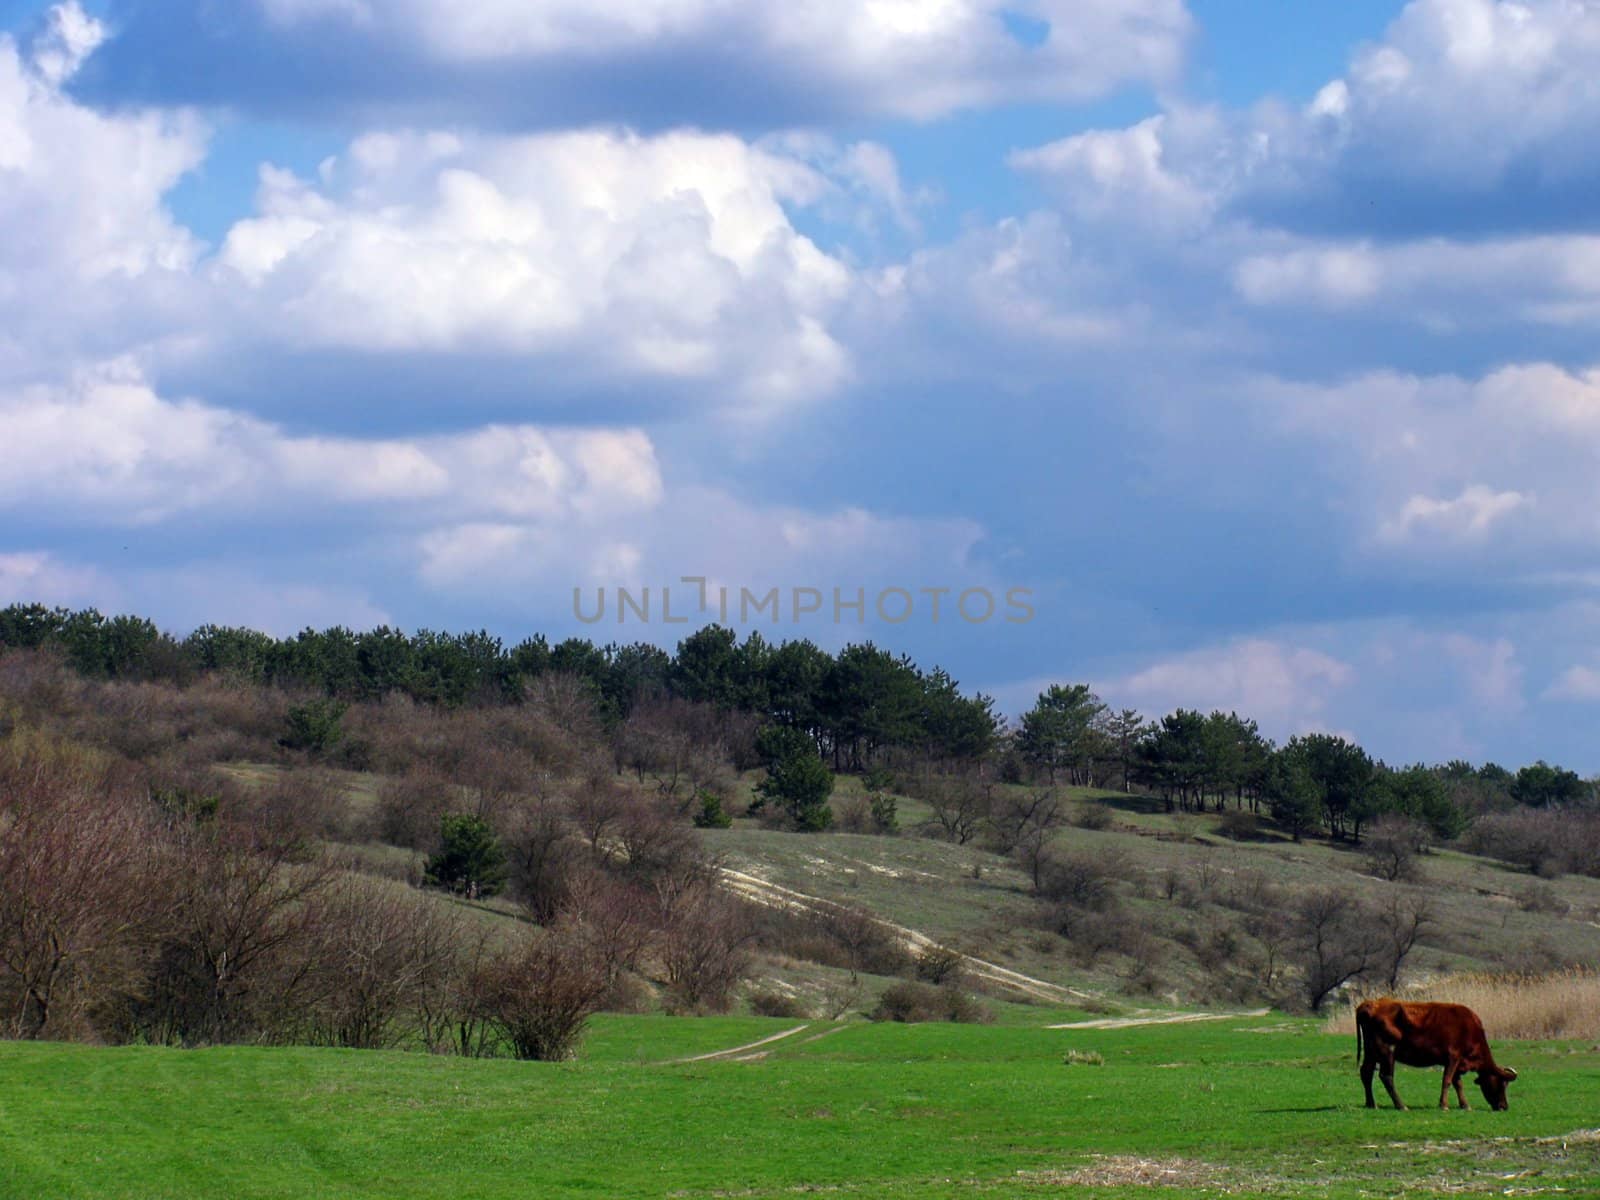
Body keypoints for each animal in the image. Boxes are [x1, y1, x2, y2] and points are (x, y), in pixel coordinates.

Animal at [1356, 998, 1516, 1113]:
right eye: (1502, 1084)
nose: (1504, 1106)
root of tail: (1370, 1004)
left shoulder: (1456, 1062)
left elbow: (1458, 1083)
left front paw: (1465, 1105)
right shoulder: (1453, 1057)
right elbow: (1447, 1080)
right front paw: (1444, 1105)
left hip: (1371, 1052)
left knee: (1366, 1072)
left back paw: (1371, 1104)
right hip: (1387, 1052)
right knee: (1386, 1076)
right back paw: (1401, 1106)